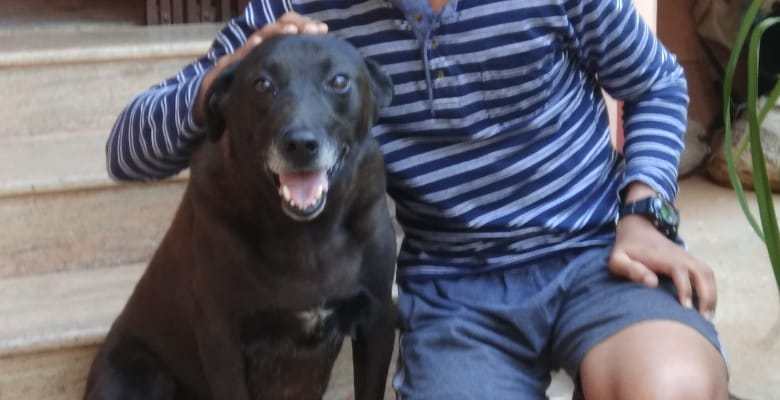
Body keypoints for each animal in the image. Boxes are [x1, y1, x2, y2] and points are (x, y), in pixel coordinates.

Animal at [84, 35, 396, 400]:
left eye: (338, 81)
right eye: (263, 84)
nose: (300, 145)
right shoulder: (222, 339)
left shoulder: (377, 320)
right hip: (140, 376)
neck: (307, 234)